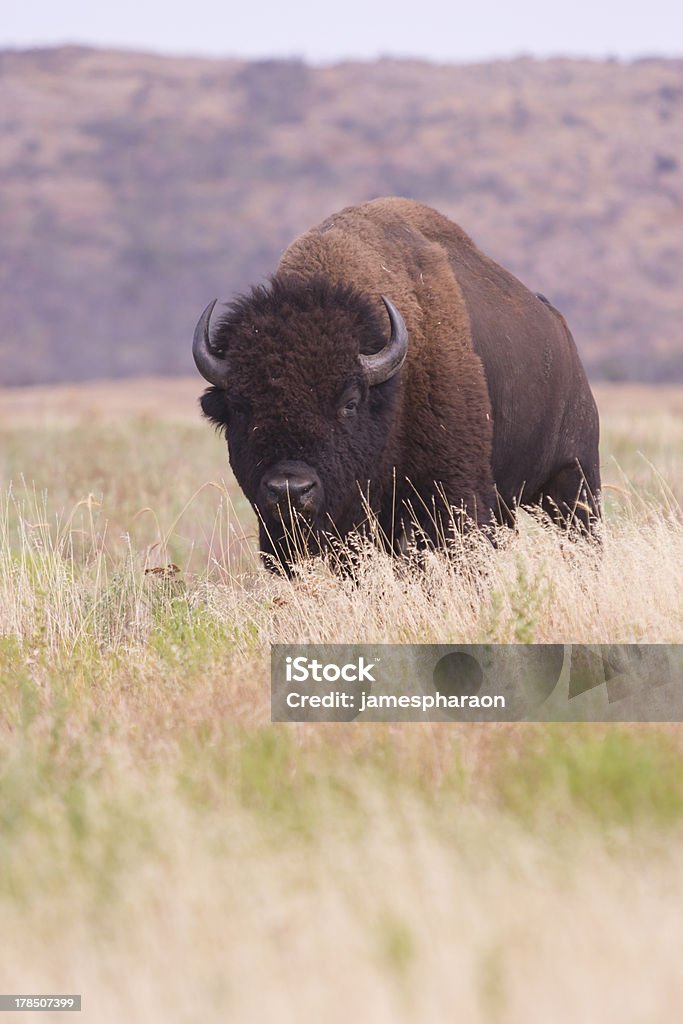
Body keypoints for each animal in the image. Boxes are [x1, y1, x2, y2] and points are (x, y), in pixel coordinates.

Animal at [192, 195, 598, 573]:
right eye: (241, 407)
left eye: (349, 402)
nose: (289, 490)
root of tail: (559, 328)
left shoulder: (454, 497)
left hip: (574, 479)